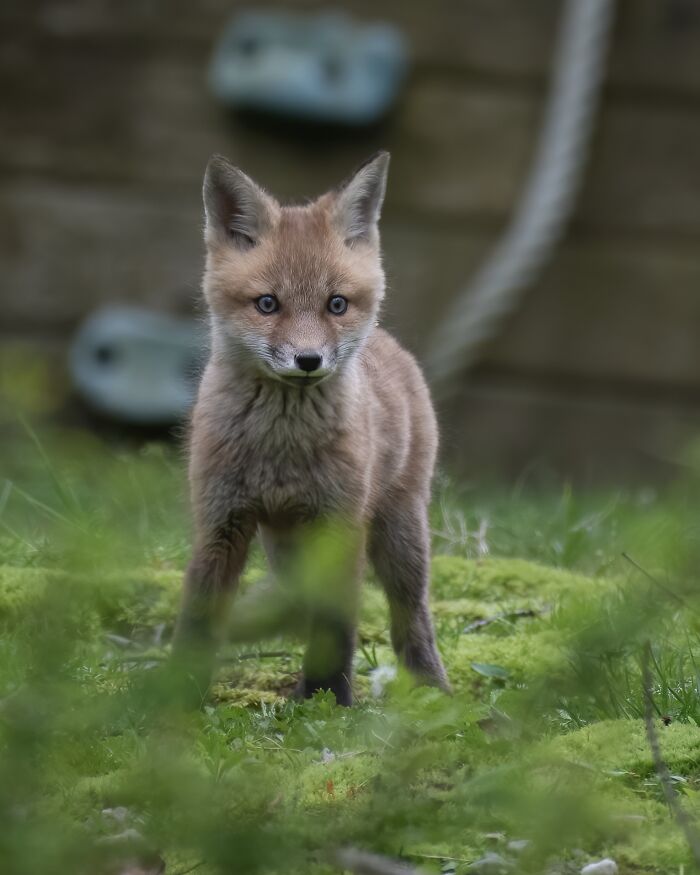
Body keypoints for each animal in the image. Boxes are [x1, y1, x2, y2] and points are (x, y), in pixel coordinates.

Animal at [172, 151, 449, 706]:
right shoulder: (220, 523)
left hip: (400, 535)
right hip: (284, 547)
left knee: (412, 618)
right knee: (297, 600)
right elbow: (199, 618)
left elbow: (335, 624)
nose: (308, 360)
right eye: (267, 303)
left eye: (336, 304)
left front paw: (329, 698)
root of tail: (392, 344)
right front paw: (171, 695)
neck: (283, 448)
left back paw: (434, 689)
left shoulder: (339, 526)